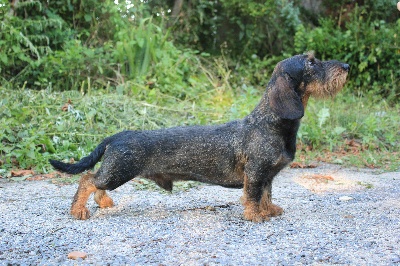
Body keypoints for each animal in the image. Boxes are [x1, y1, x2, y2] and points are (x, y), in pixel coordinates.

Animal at [50, 53, 350, 221]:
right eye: (311, 63)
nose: (347, 65)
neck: (269, 123)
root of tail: (118, 135)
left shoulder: (267, 175)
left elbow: (266, 194)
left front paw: (270, 210)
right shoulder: (256, 172)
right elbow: (253, 197)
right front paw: (255, 216)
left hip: (115, 171)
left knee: (96, 183)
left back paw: (104, 202)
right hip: (119, 171)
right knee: (88, 180)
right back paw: (78, 211)